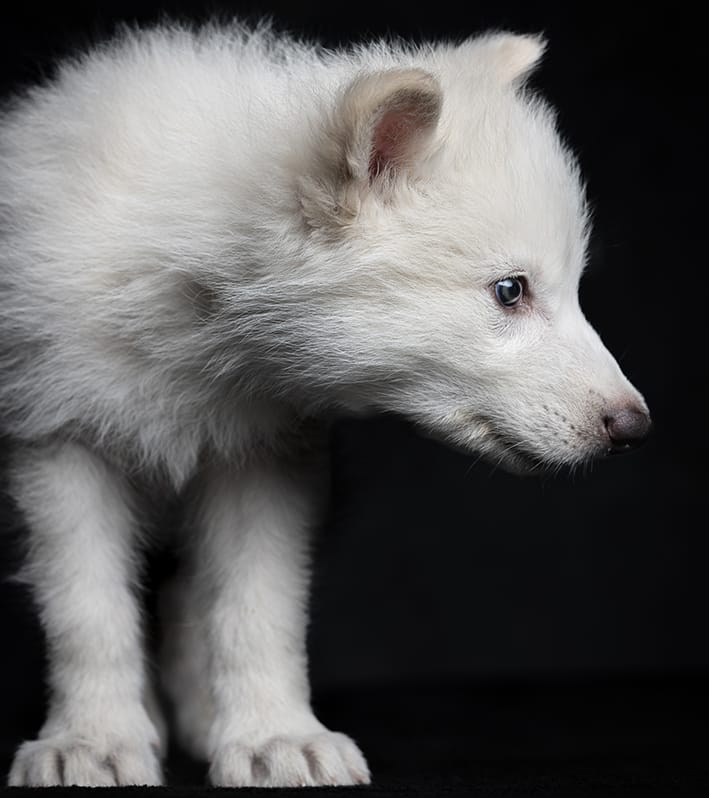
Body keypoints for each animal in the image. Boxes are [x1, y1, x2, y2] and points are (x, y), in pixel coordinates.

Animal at [0, 22, 651, 787]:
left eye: (571, 287)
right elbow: (87, 609)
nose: (634, 426)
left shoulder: (264, 451)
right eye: (510, 291)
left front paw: (271, 736)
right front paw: (94, 740)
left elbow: (257, 606)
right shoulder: (57, 434)